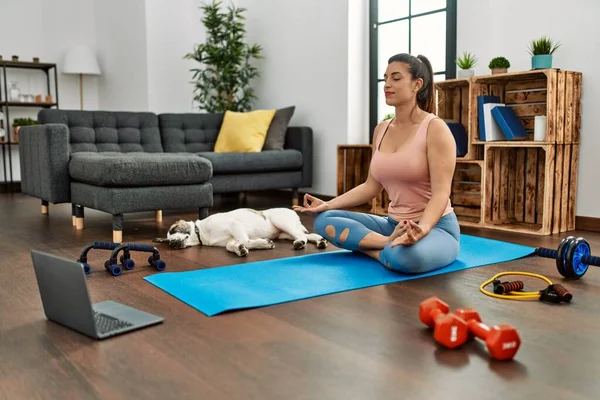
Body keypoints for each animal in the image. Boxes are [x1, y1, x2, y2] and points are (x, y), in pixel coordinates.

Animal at [151, 206, 328, 256]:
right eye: (167, 241)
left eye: (173, 229)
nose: (172, 244)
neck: (201, 233)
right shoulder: (230, 238)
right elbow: (231, 245)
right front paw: (240, 249)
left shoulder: (235, 225)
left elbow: (245, 240)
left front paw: (261, 244)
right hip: (285, 233)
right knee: (309, 235)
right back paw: (320, 241)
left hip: (282, 222)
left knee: (302, 236)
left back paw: (300, 243)